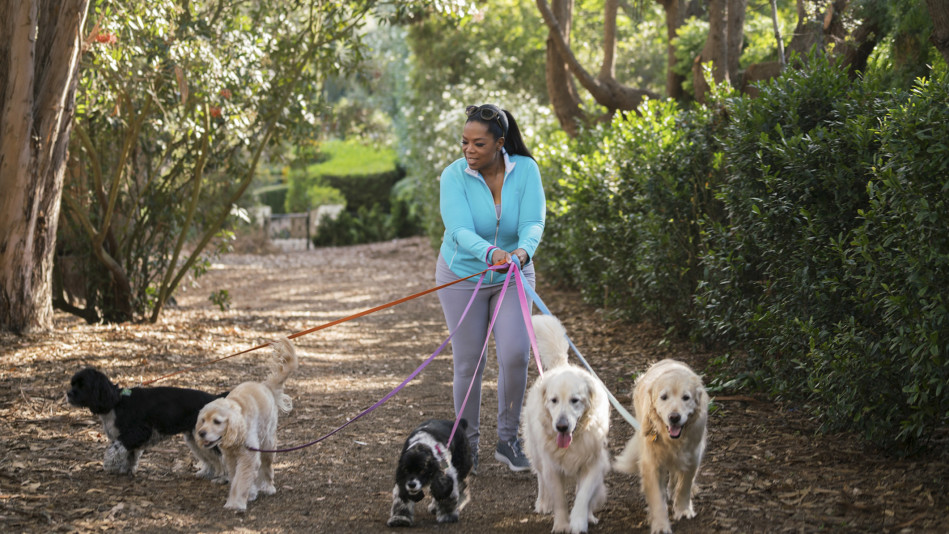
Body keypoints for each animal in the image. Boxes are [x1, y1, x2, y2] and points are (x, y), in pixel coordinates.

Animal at [66, 368, 226, 482]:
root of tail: (214, 398)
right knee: (211, 458)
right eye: (72, 383)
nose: (68, 393)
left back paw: (224, 479)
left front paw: (109, 464)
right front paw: (126, 471)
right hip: (197, 439)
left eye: (83, 385)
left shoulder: (138, 432)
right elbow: (129, 455)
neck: (116, 402)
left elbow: (115, 449)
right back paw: (206, 473)